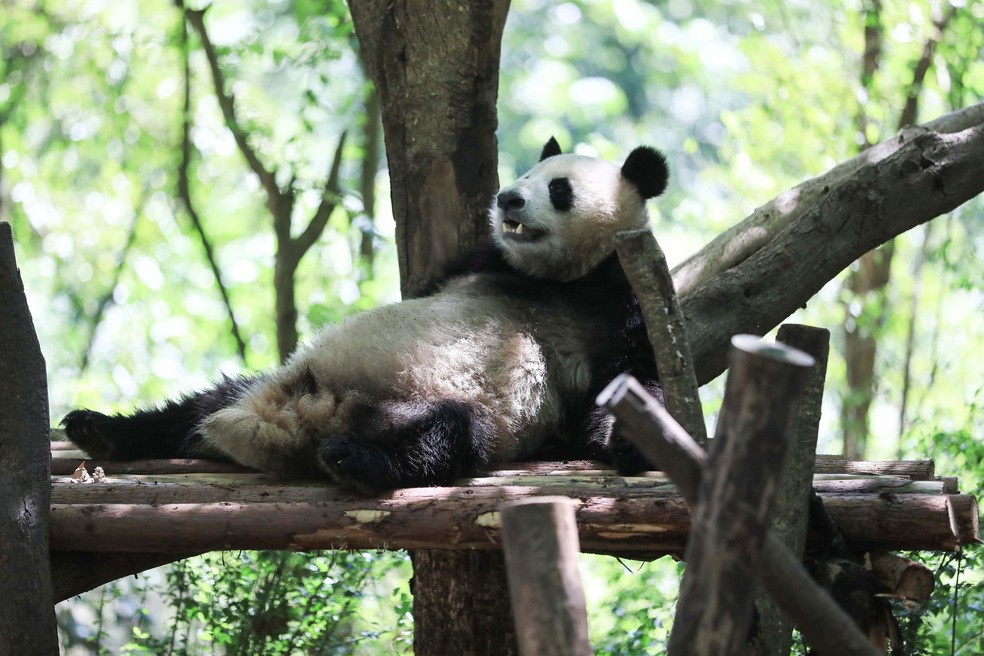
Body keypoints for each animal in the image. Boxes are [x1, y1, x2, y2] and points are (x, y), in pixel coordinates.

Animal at [62, 138, 668, 494]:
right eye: (527, 173)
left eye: (559, 189)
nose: (508, 200)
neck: (557, 277)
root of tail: (299, 416)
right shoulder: (481, 261)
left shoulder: (621, 298)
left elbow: (630, 378)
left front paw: (629, 442)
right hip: (275, 379)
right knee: (198, 406)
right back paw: (101, 431)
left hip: (449, 410)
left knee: (447, 437)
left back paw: (353, 460)